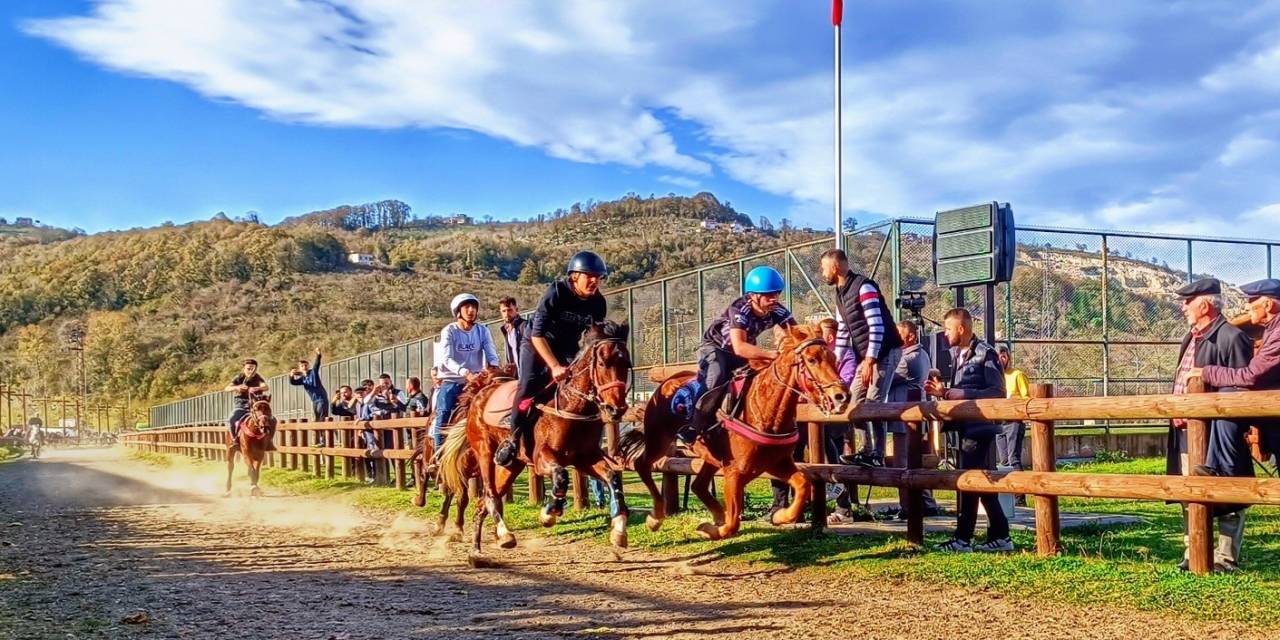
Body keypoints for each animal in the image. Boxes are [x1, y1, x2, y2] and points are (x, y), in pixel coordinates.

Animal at [440, 320, 634, 560]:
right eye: (602, 362)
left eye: (626, 363)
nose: (617, 409)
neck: (573, 406)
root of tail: (478, 394)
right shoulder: (542, 458)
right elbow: (561, 476)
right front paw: (549, 513)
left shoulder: (585, 458)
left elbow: (612, 477)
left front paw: (619, 530)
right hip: (485, 452)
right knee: (490, 495)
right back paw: (504, 535)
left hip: (510, 466)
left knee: (481, 503)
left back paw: (476, 550)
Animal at [622, 325, 849, 540]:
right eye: (812, 359)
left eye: (834, 358)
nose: (841, 396)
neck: (763, 410)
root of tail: (665, 385)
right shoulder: (735, 472)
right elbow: (732, 523)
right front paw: (710, 530)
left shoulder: (777, 463)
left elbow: (803, 485)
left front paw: (780, 516)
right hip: (658, 439)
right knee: (642, 464)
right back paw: (656, 517)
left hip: (711, 456)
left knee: (698, 485)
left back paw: (714, 515)